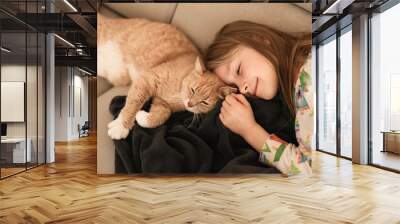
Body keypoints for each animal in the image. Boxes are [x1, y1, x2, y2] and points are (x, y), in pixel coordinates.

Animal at [97, 14, 234, 140]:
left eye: (204, 102)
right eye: (193, 90)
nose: (189, 104)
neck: (178, 93)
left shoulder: (162, 103)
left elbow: (162, 116)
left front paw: (142, 117)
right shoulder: (146, 80)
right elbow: (133, 104)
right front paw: (121, 126)